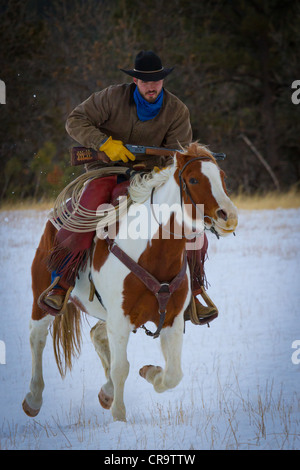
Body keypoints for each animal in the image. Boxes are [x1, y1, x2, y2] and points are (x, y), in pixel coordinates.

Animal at [22, 142, 238, 422]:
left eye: (222, 177)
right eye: (193, 179)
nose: (229, 217)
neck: (152, 250)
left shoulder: (172, 320)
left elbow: (173, 374)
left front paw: (149, 373)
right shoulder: (120, 319)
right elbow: (120, 368)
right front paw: (120, 418)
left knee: (97, 334)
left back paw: (106, 392)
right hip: (43, 298)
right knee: (37, 337)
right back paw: (33, 398)